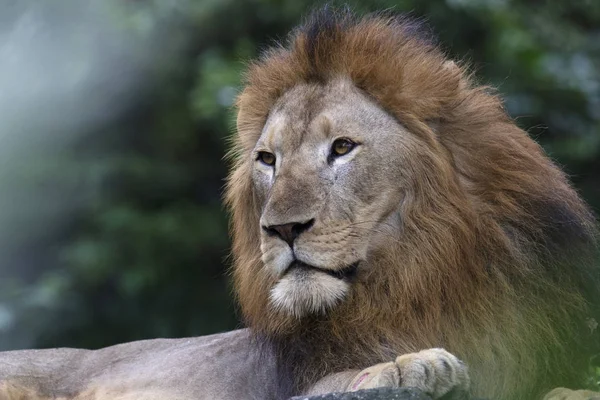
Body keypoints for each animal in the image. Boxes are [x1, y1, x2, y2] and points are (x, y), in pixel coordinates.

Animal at [0, 5, 596, 400]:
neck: (418, 278)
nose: (282, 230)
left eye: (342, 148)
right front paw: (407, 367)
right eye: (268, 159)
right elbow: (337, 380)